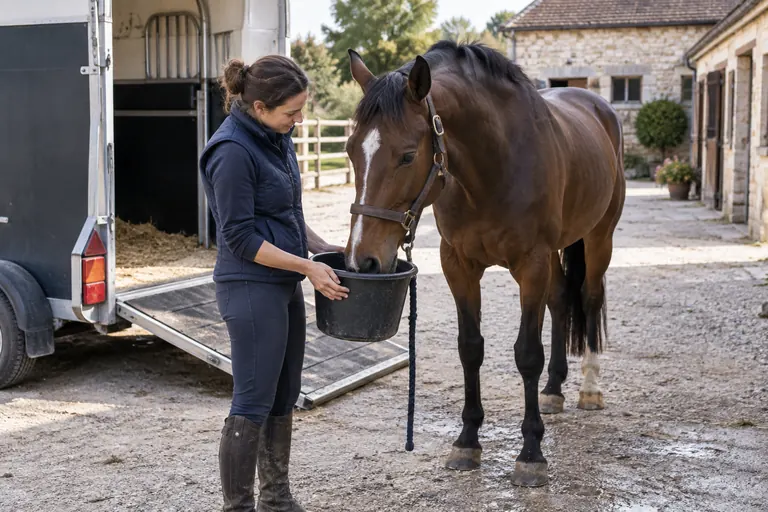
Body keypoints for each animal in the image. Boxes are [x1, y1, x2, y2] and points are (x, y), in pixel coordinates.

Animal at [341, 40, 626, 487]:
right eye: (351, 150)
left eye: (407, 156)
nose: (361, 260)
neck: (494, 166)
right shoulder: (458, 264)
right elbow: (470, 348)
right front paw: (467, 441)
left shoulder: (531, 264)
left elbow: (527, 353)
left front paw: (531, 454)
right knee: (562, 300)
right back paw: (553, 390)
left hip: (599, 238)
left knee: (590, 298)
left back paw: (590, 389)